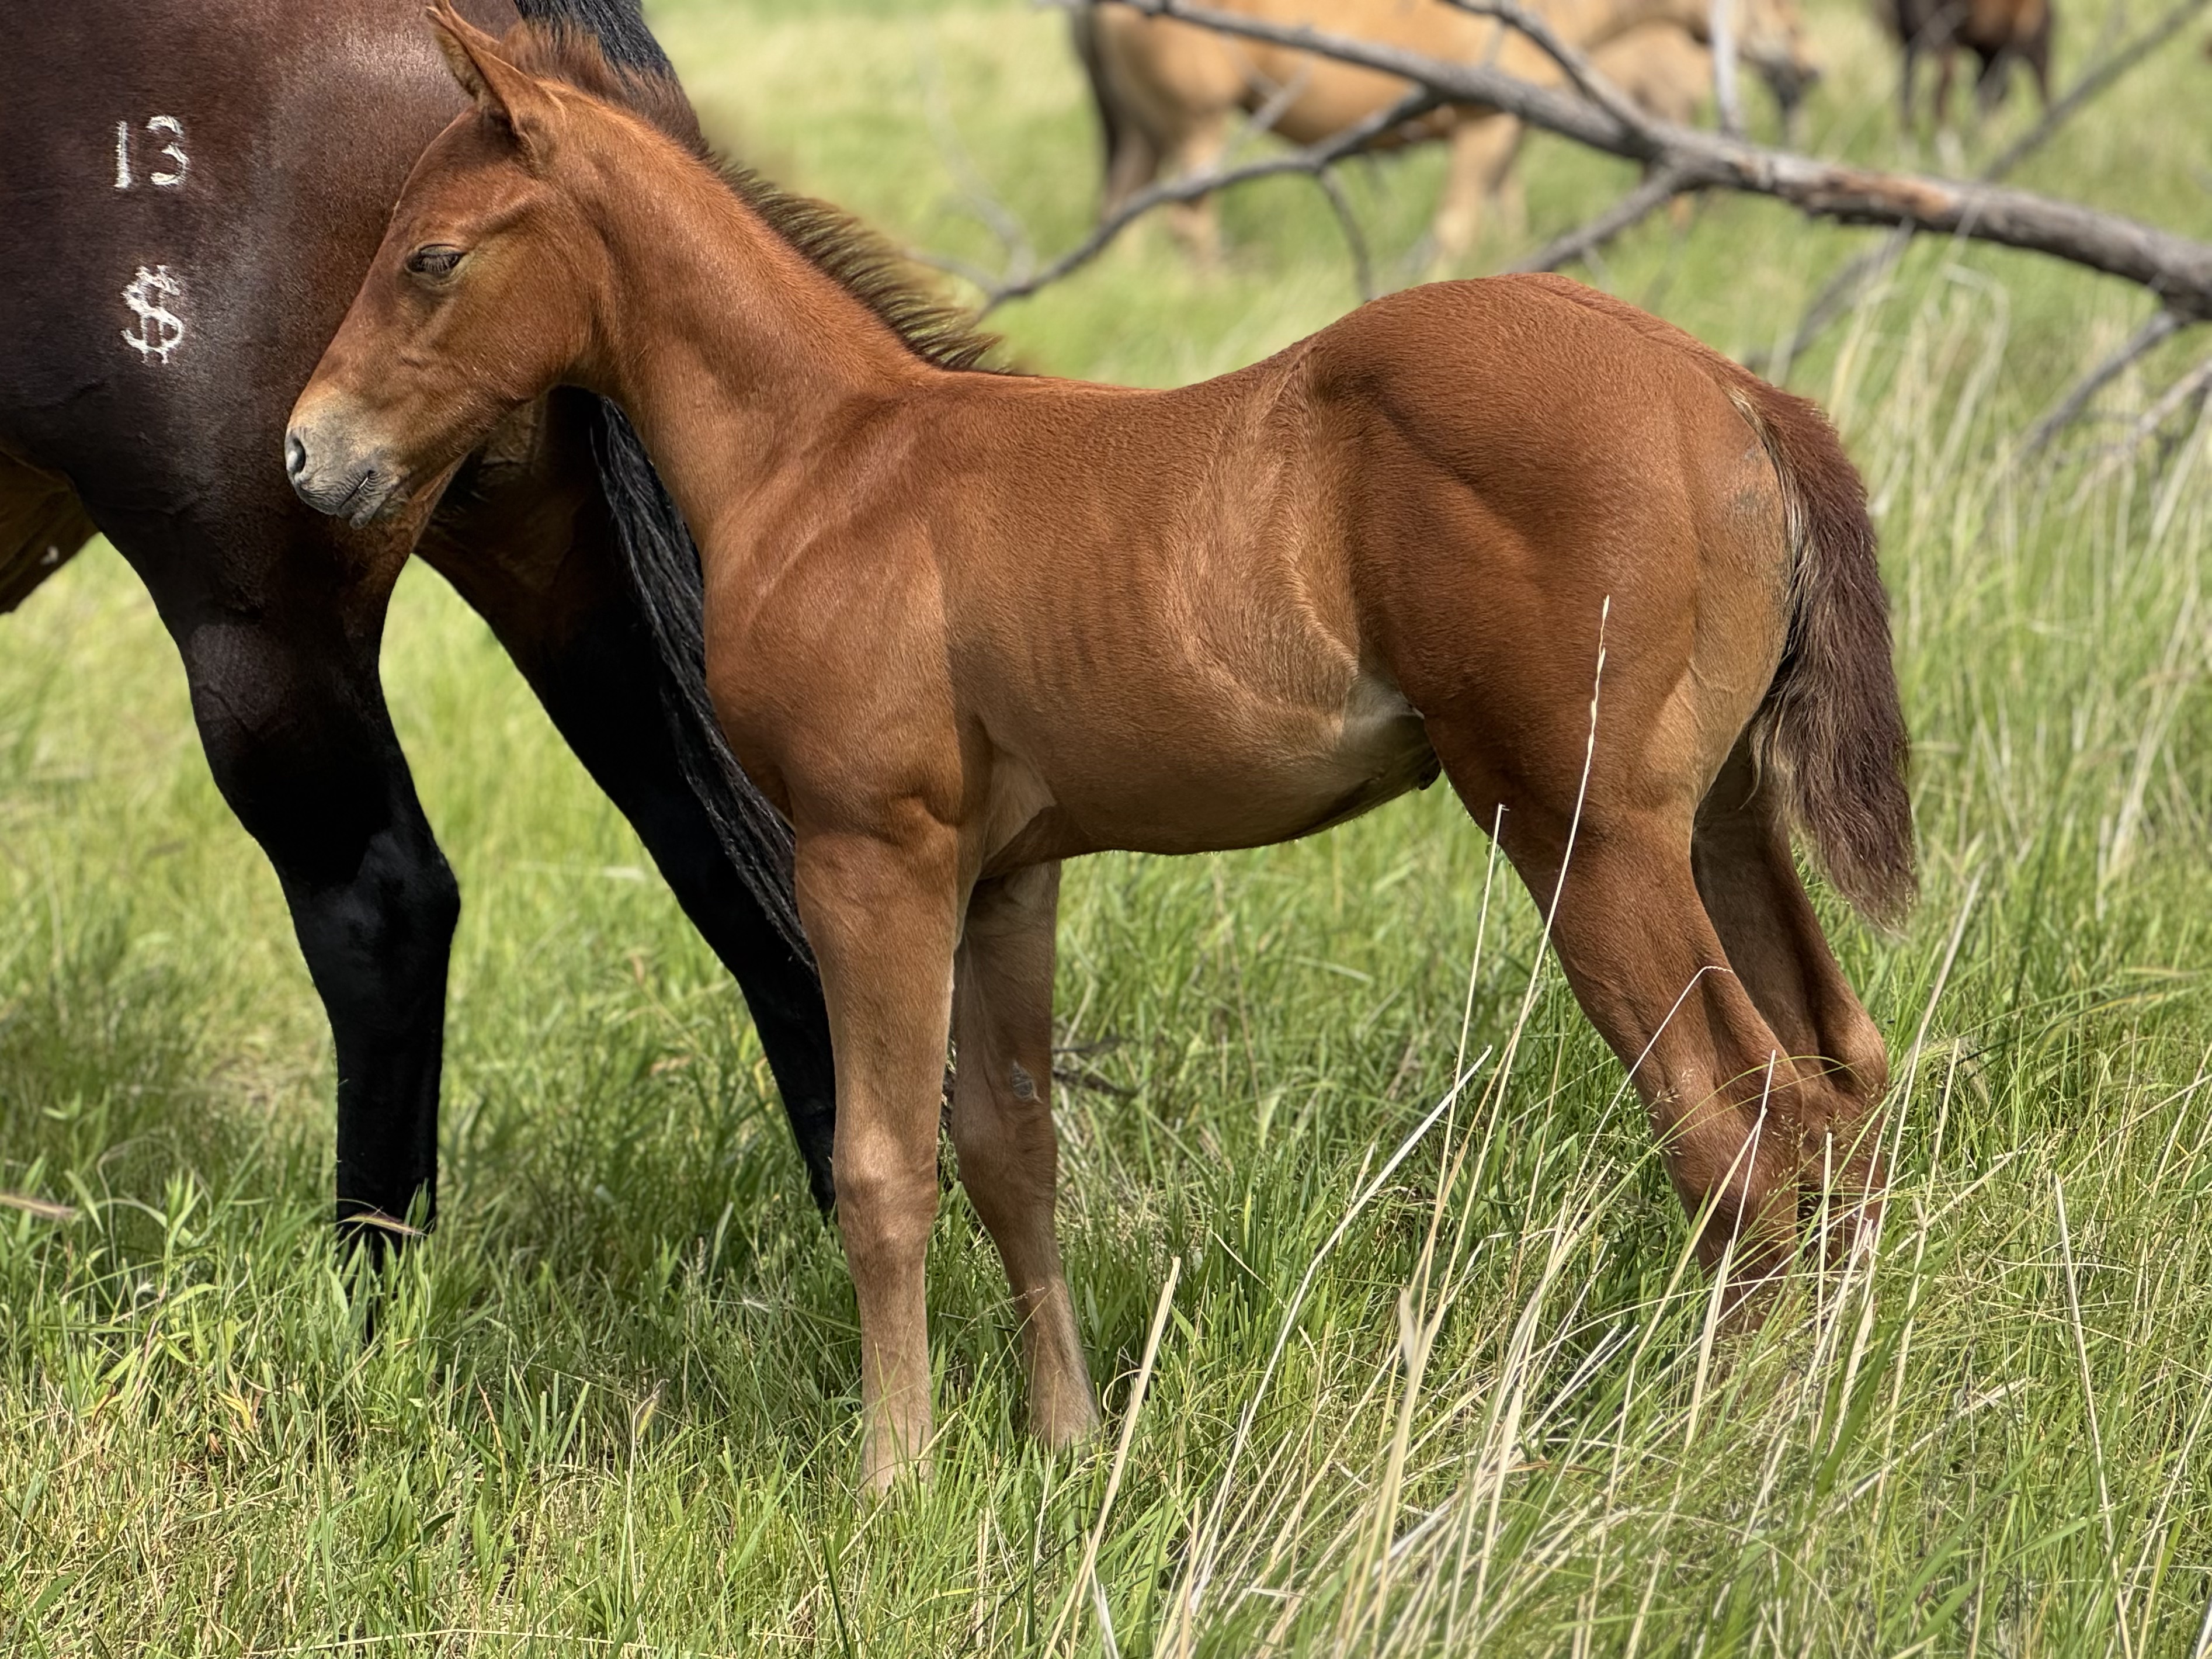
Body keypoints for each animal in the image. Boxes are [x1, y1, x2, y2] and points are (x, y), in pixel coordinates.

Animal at [1069, 0, 1821, 266]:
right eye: (1782, 11)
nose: (1811, 70)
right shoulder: (1483, 127)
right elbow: (1458, 226)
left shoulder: (1511, 131)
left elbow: (1505, 212)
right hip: (1196, 128)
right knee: (1187, 221)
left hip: (1142, 132)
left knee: (1119, 209)